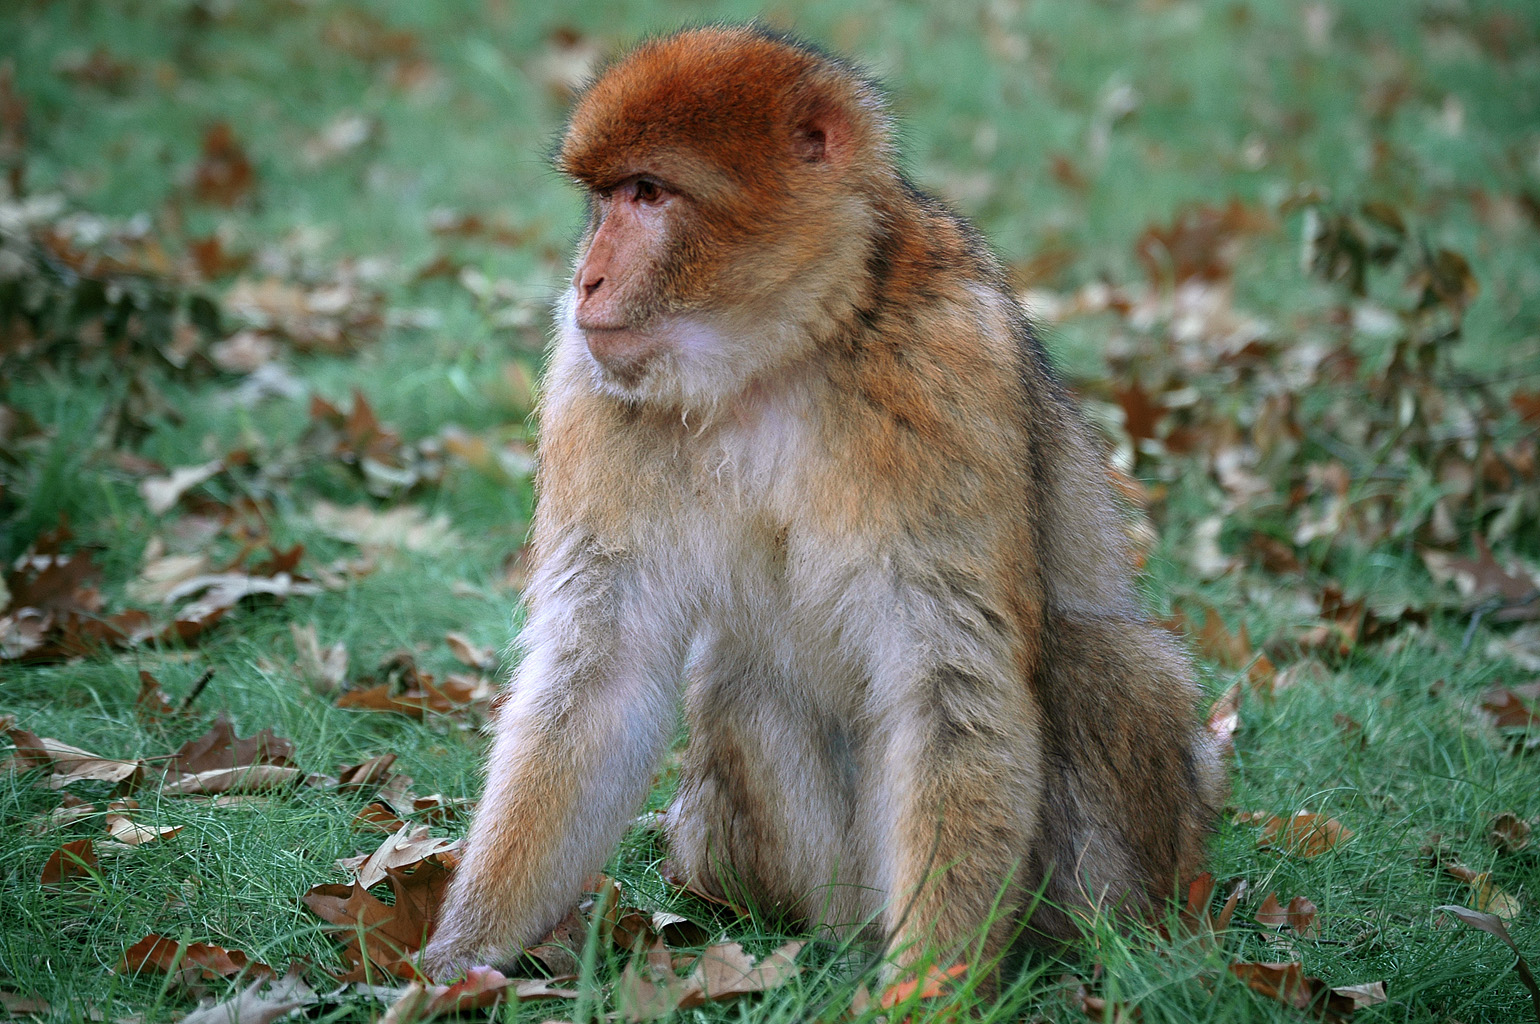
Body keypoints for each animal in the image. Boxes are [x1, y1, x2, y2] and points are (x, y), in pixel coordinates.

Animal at [418, 21, 1225, 985]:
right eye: (603, 198)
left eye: (648, 193)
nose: (586, 281)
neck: (781, 351)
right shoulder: (591, 381)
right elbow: (603, 668)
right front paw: (457, 963)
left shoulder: (947, 365)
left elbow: (951, 683)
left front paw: (925, 990)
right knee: (740, 681)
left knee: (1104, 661)